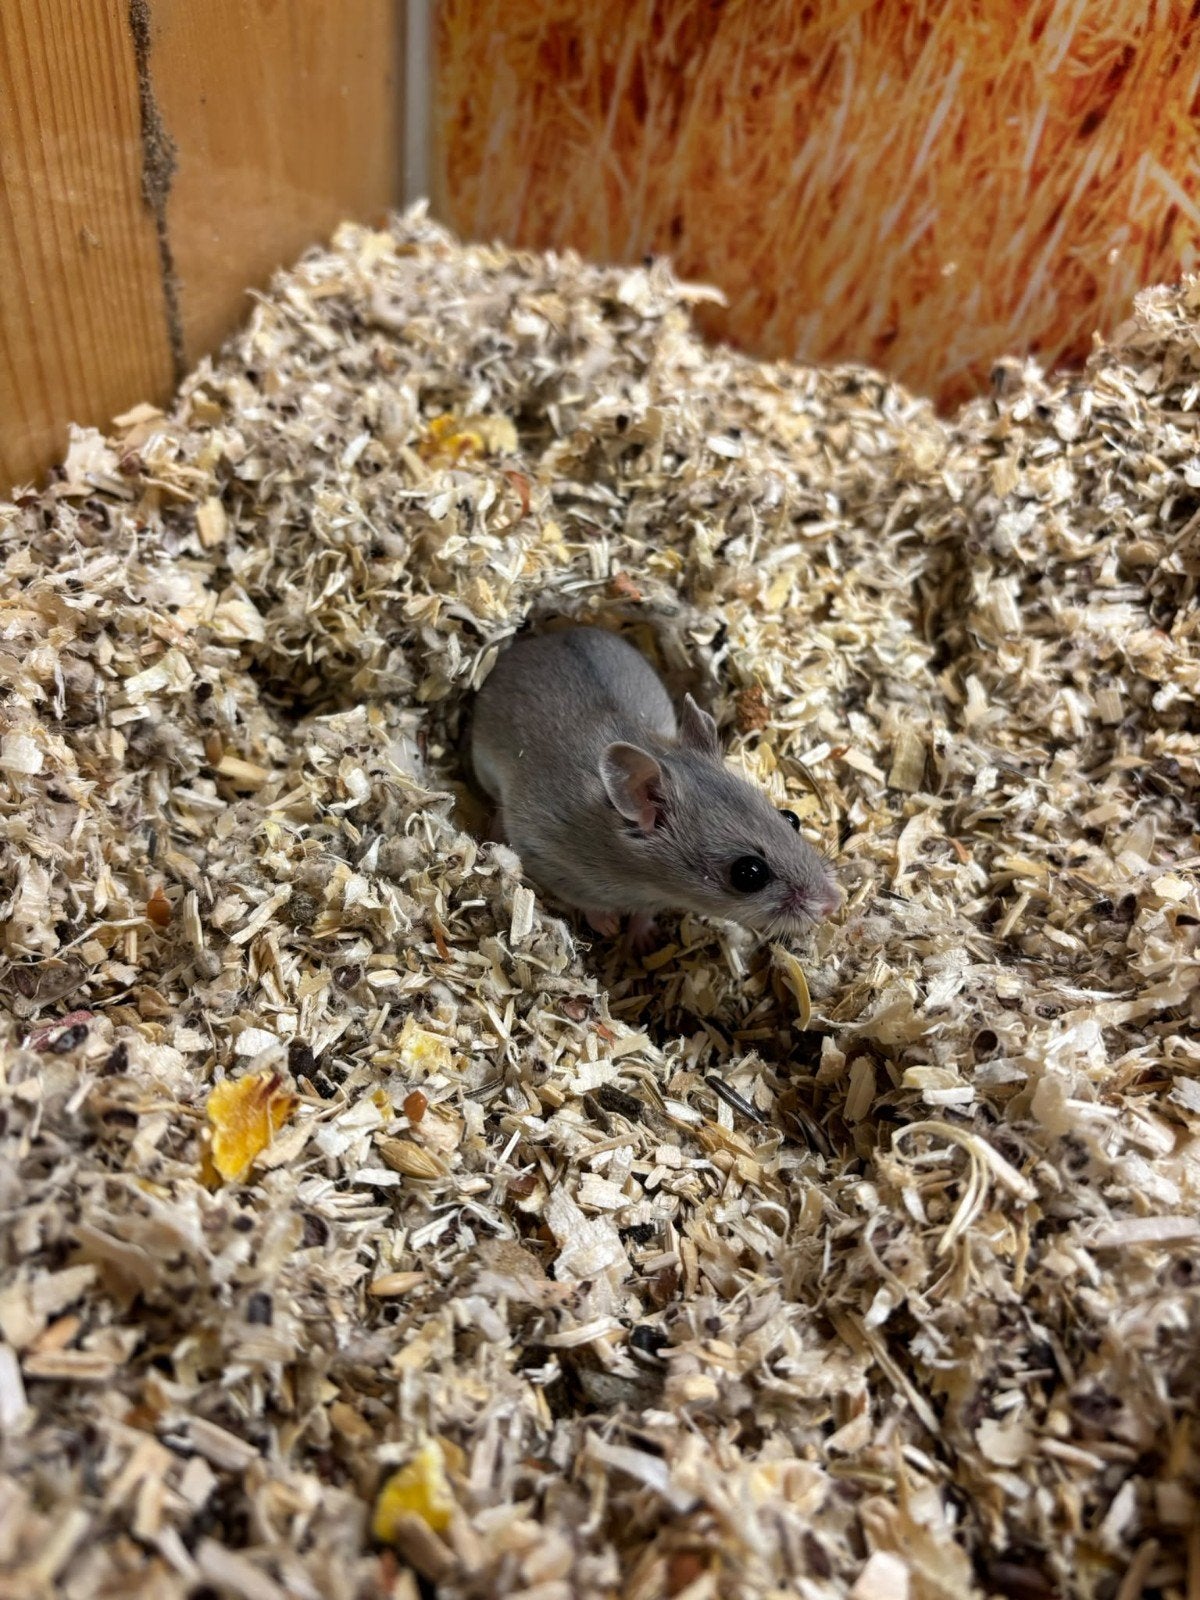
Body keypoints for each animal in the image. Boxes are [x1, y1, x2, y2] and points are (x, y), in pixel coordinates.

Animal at [469, 626, 840, 949]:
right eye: (749, 873)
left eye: (791, 818)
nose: (833, 903)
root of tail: (542, 639)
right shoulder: (549, 861)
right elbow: (587, 904)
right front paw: (609, 927)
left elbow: (644, 915)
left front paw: (644, 942)